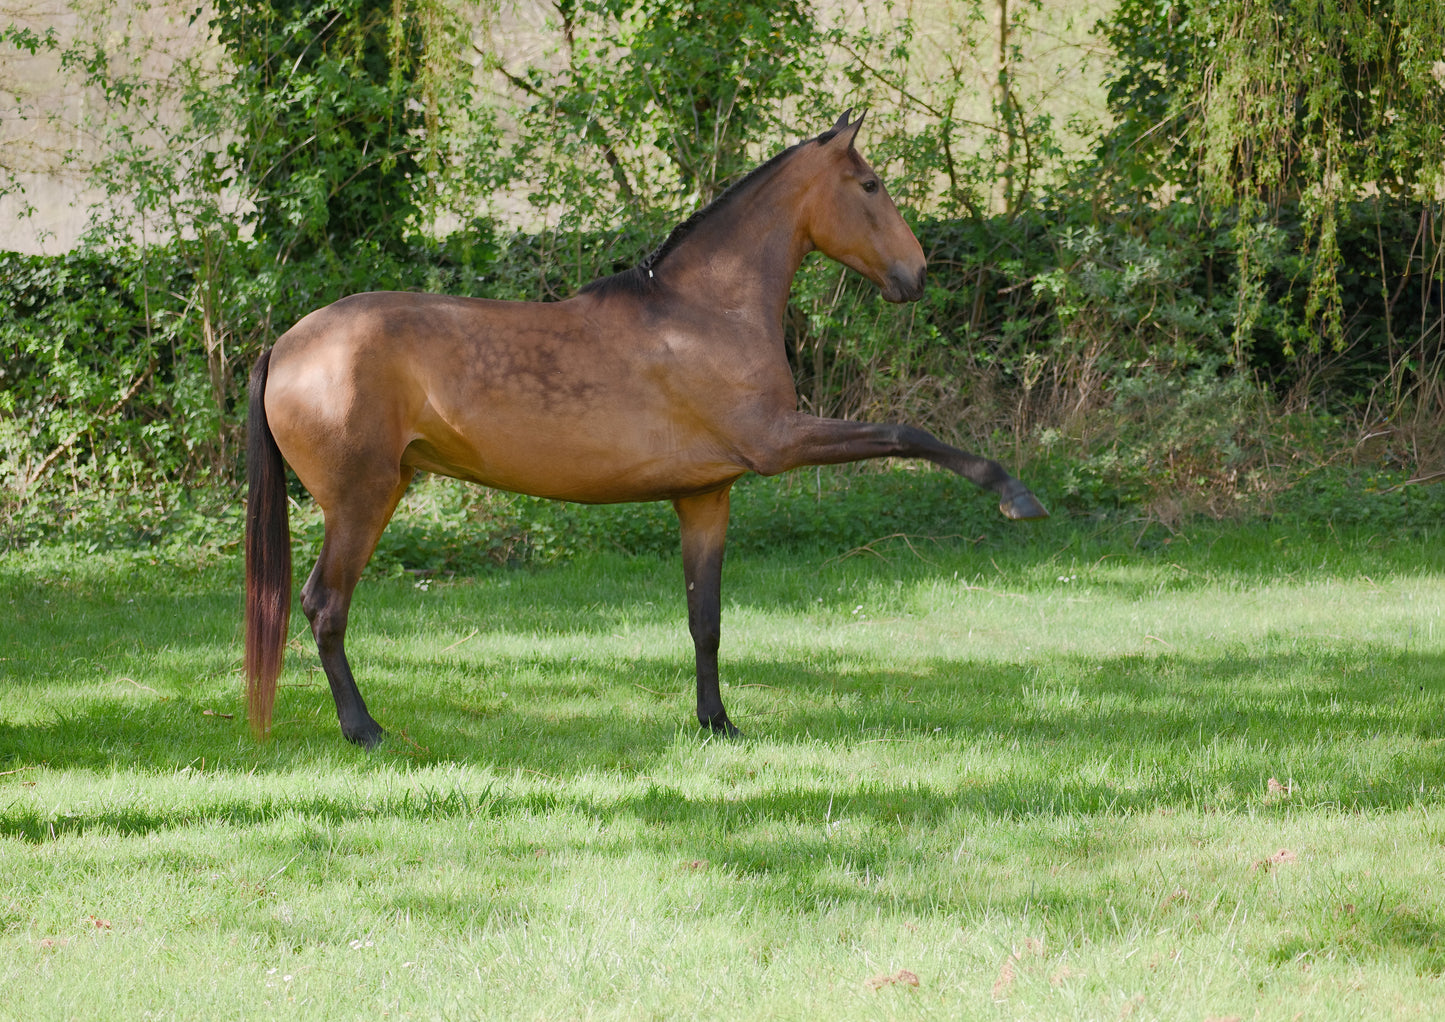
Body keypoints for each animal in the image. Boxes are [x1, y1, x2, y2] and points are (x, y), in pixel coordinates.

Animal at [244, 111, 1047, 749]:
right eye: (870, 185)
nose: (916, 274)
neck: (704, 311)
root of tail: (285, 346)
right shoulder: (778, 441)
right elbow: (907, 432)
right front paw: (1016, 494)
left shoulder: (706, 495)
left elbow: (705, 619)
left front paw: (717, 722)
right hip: (363, 500)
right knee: (324, 605)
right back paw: (364, 730)